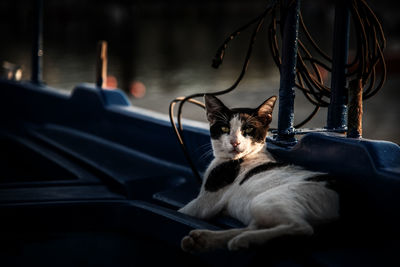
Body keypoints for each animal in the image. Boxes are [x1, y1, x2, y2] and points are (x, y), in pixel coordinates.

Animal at [180, 94, 340, 253]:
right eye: (225, 128)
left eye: (248, 129)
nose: (235, 142)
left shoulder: (203, 204)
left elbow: (183, 211)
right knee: (253, 227)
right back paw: (205, 239)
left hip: (267, 200)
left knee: (302, 228)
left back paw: (243, 240)